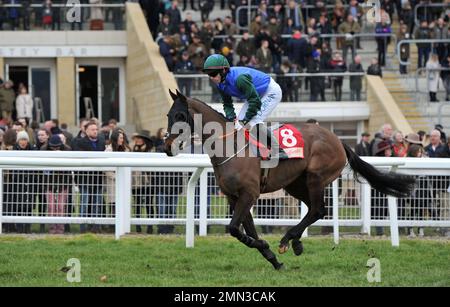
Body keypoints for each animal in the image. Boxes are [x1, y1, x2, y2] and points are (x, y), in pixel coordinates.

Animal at [164, 90, 414, 270]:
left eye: (180, 116)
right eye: (168, 116)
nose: (167, 147)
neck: (229, 147)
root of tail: (338, 140)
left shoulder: (249, 194)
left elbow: (235, 228)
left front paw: (266, 245)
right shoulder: (234, 197)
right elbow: (247, 229)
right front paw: (272, 258)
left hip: (316, 177)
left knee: (318, 209)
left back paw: (288, 239)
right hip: (295, 184)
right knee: (313, 209)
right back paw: (296, 242)